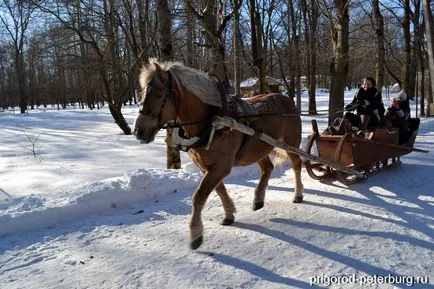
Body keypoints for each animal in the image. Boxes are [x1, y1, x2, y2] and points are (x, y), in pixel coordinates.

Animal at [134, 58, 304, 248]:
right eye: (141, 93)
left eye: (157, 94)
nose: (138, 131)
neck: (212, 121)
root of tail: (286, 99)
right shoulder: (206, 167)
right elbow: (219, 189)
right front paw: (229, 214)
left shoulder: (221, 166)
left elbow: (199, 196)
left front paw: (195, 233)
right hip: (257, 148)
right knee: (267, 168)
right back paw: (259, 198)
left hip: (290, 143)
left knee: (297, 165)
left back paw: (298, 194)